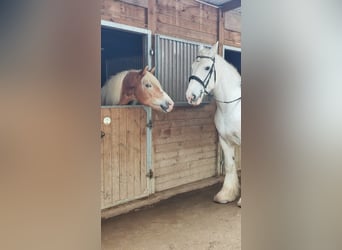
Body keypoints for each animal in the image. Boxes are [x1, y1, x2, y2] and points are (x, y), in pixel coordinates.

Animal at [186, 42, 242, 206]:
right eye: (192, 66)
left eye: (206, 68)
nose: (190, 96)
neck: (231, 107)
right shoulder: (224, 140)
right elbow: (229, 166)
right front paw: (226, 195)